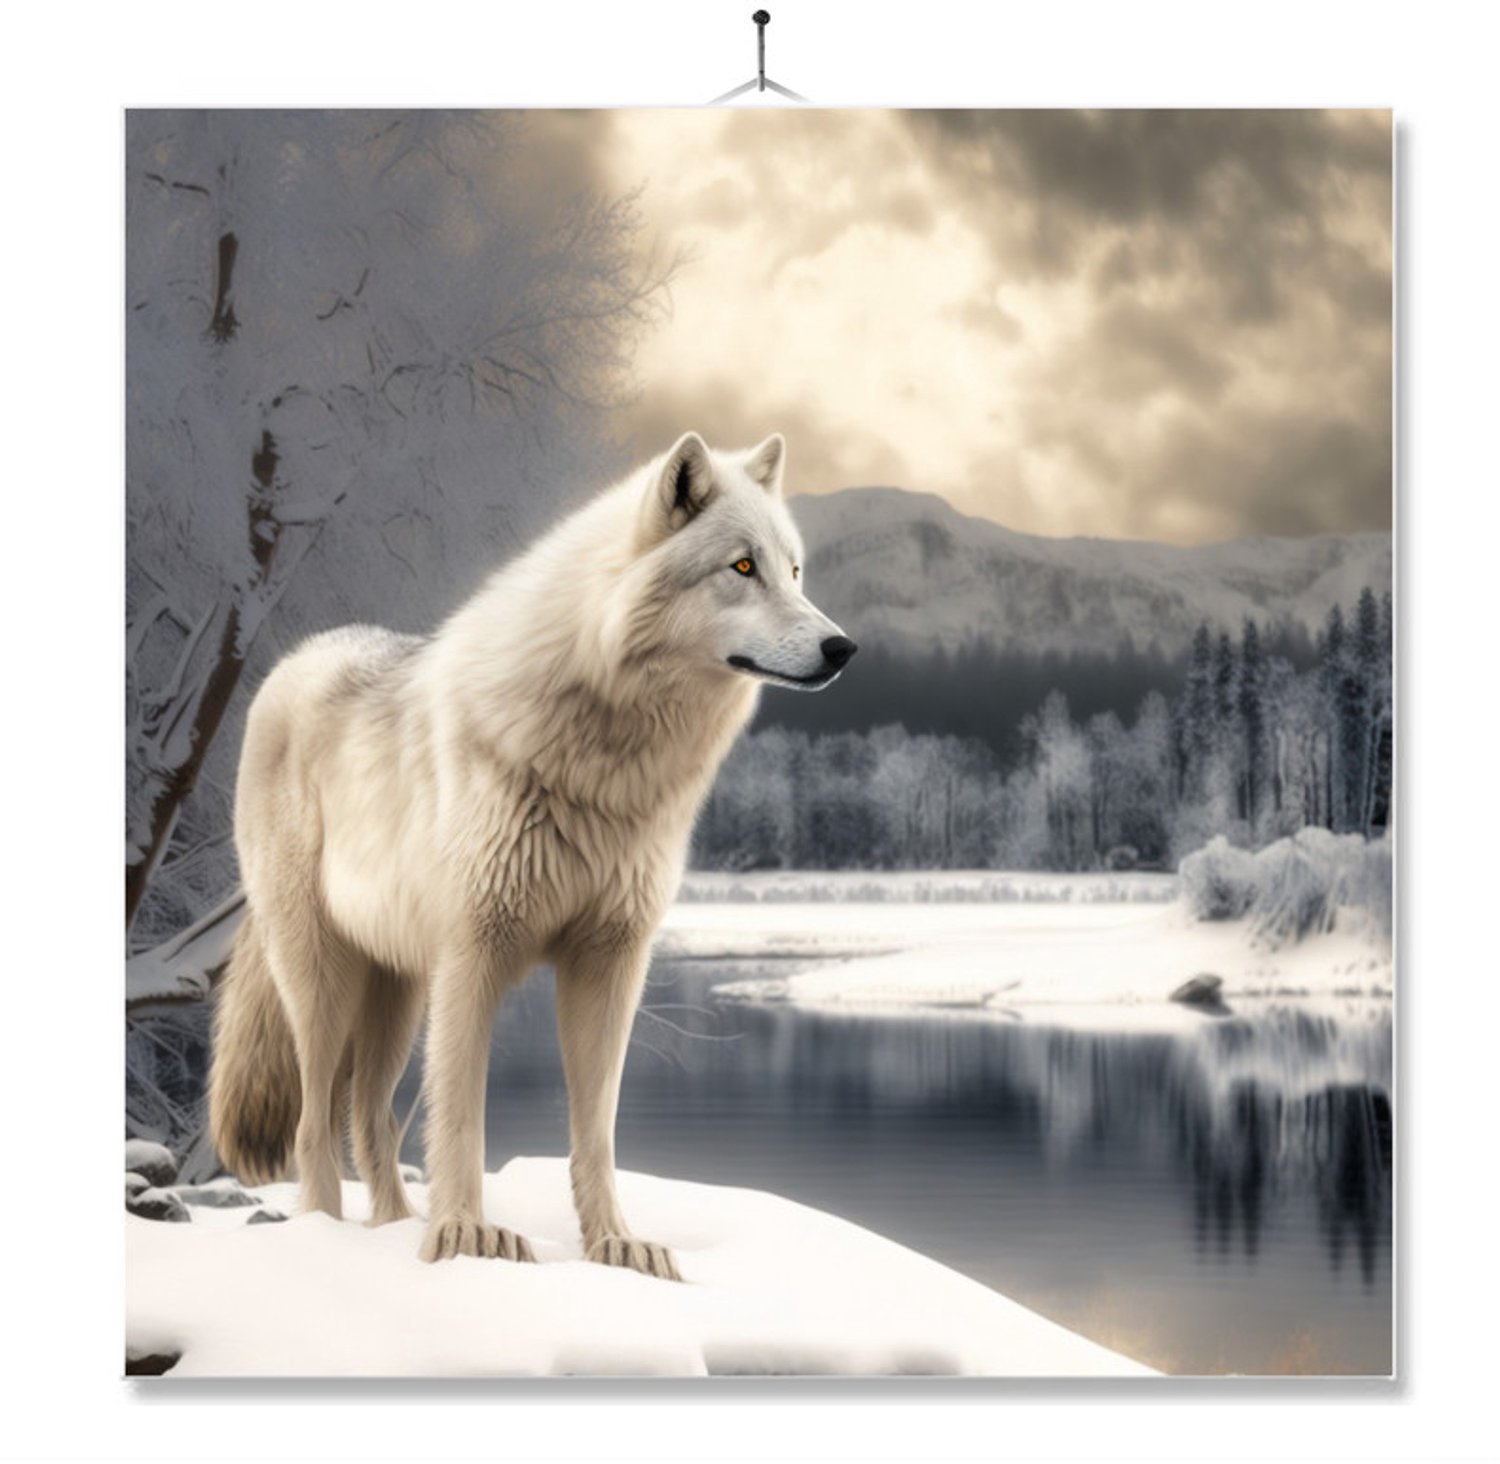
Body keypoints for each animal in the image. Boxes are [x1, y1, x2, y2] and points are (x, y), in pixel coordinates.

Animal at [207, 431, 855, 1276]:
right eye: (742, 567)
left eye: (795, 570)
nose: (842, 647)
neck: (610, 763)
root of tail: (292, 660)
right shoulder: (473, 954)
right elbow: (461, 1118)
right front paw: (463, 1237)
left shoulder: (611, 961)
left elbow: (596, 1130)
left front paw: (616, 1244)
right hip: (324, 980)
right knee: (313, 1122)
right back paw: (328, 1235)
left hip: (399, 991)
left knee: (370, 1115)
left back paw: (391, 1228)